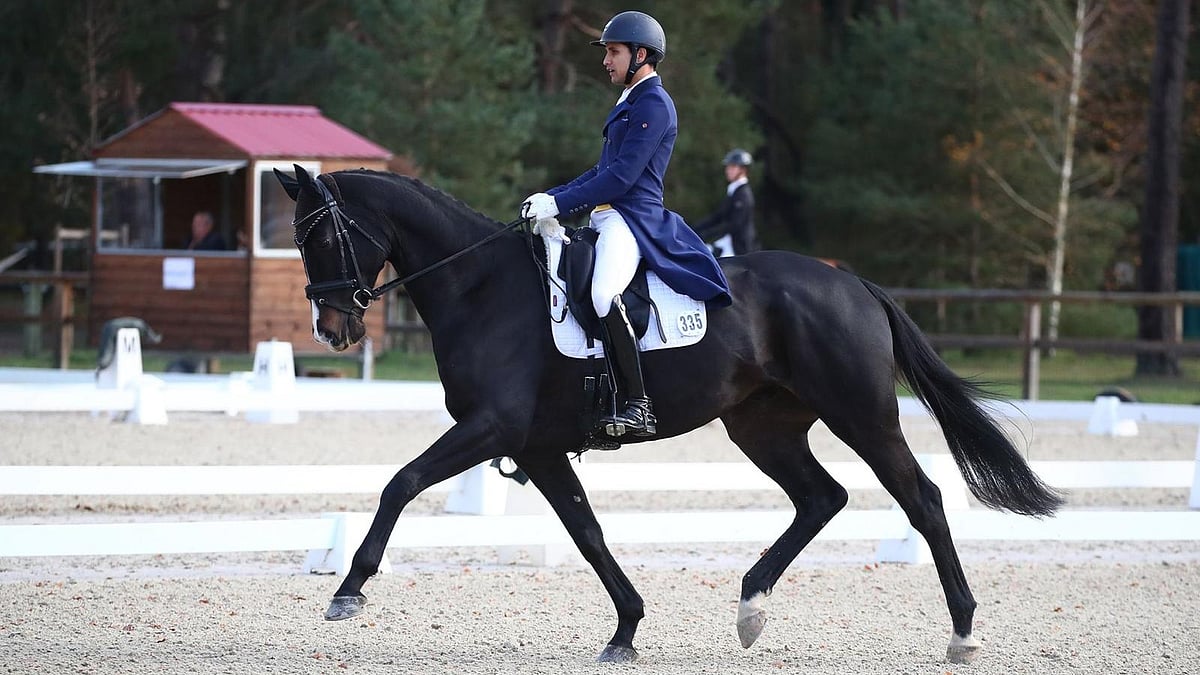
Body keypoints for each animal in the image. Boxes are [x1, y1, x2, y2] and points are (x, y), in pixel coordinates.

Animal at [275, 165, 1062, 665]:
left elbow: (400, 483)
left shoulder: (492, 427)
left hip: (860, 415)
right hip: (761, 425)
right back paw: (751, 607)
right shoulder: (535, 447)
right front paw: (626, 628)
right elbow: (587, 532)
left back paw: (962, 633)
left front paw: (348, 591)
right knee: (821, 496)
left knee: (921, 498)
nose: (331, 329)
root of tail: (855, 284)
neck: (479, 285)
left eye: (324, 237)